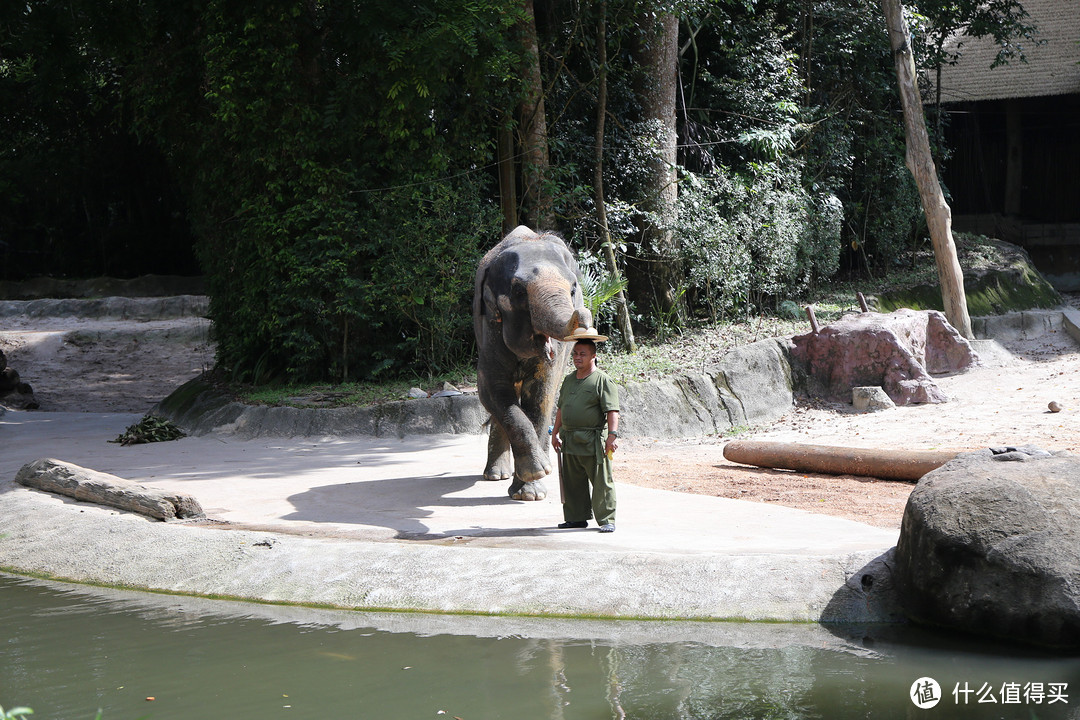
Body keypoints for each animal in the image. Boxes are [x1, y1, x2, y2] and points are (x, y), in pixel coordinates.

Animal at [473, 225, 591, 500]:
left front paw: (531, 492)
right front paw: (536, 473)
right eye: (518, 291)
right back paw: (496, 475)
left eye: (573, 290)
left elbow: (541, 395)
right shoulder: (489, 327)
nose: (583, 314)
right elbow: (490, 391)